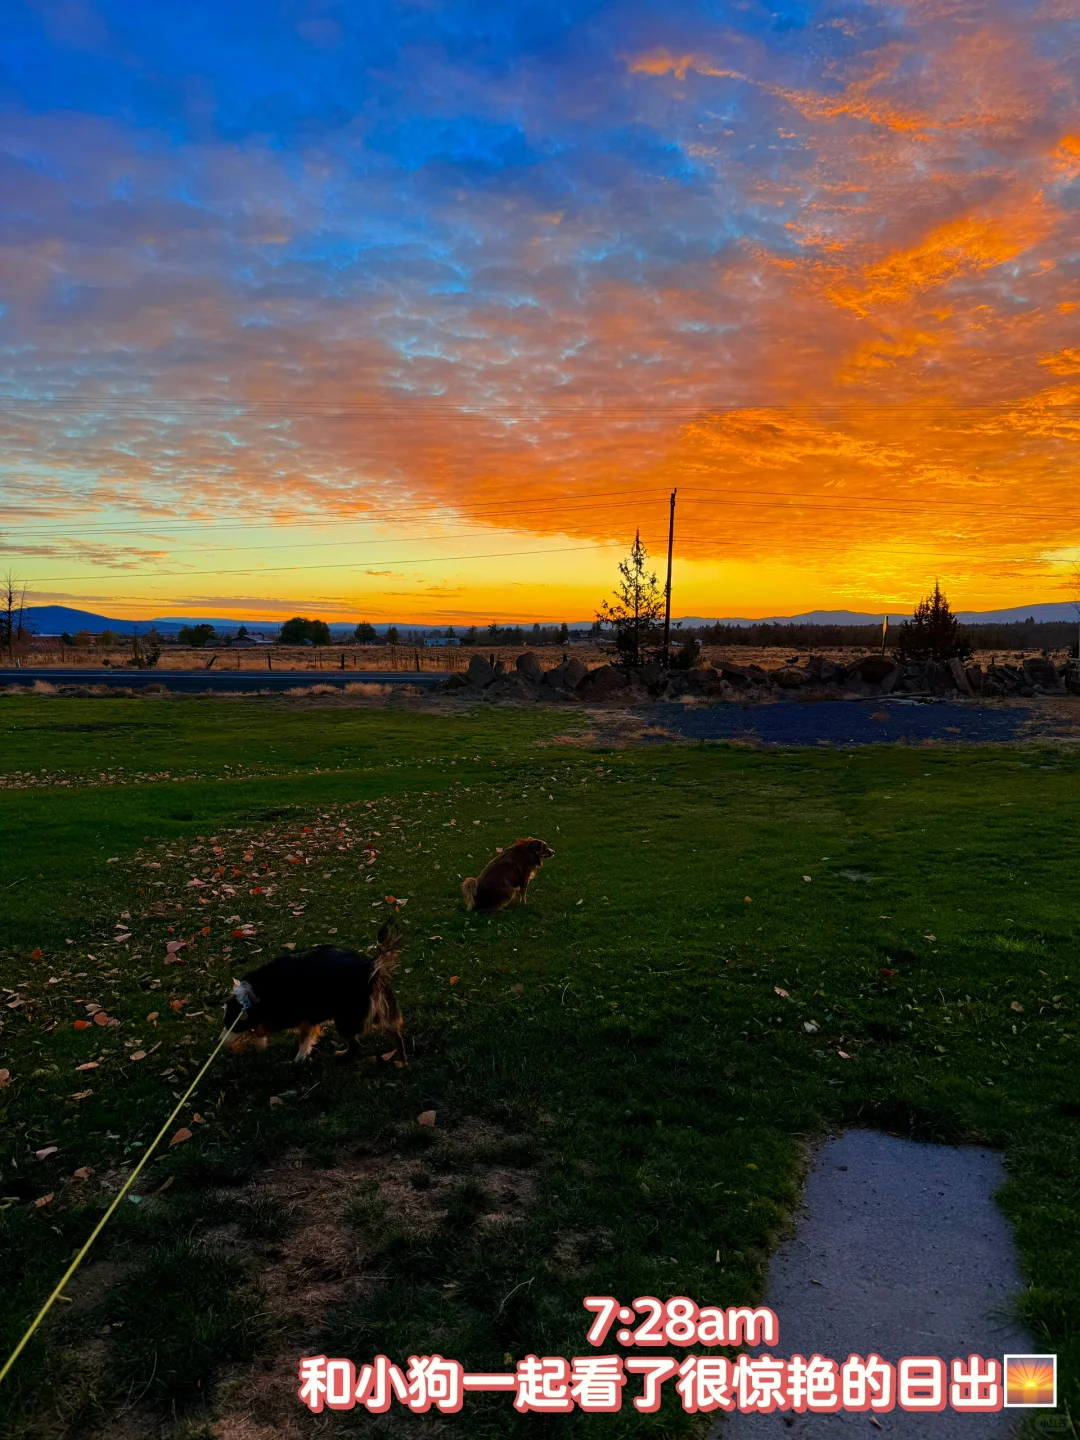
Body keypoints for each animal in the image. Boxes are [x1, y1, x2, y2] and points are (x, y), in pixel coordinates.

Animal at [220, 921, 406, 1059]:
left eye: (232, 1025)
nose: (220, 1042)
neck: (257, 993)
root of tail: (372, 967)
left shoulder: (293, 1014)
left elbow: (262, 1029)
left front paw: (267, 1046)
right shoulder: (305, 1017)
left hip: (346, 1017)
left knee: (356, 1045)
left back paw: (342, 1054)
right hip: (376, 1010)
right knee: (392, 1031)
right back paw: (400, 1058)